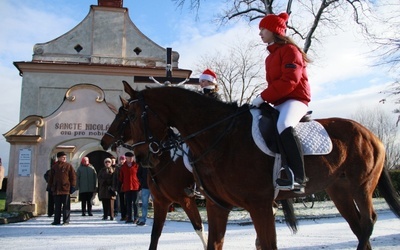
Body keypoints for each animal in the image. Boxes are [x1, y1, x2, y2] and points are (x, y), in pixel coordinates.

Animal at [101, 100, 206, 249]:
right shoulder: (160, 201)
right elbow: (155, 233)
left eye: (121, 118)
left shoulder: (186, 199)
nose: (103, 141)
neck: (166, 158)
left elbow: (199, 227)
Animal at [122, 81, 400, 249]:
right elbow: (212, 243)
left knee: (368, 222)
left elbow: (266, 244)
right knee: (358, 226)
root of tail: (370, 134)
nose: (142, 156)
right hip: (339, 191)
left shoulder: (260, 206)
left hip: (362, 187)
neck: (220, 136)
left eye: (131, 116)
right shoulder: (216, 205)